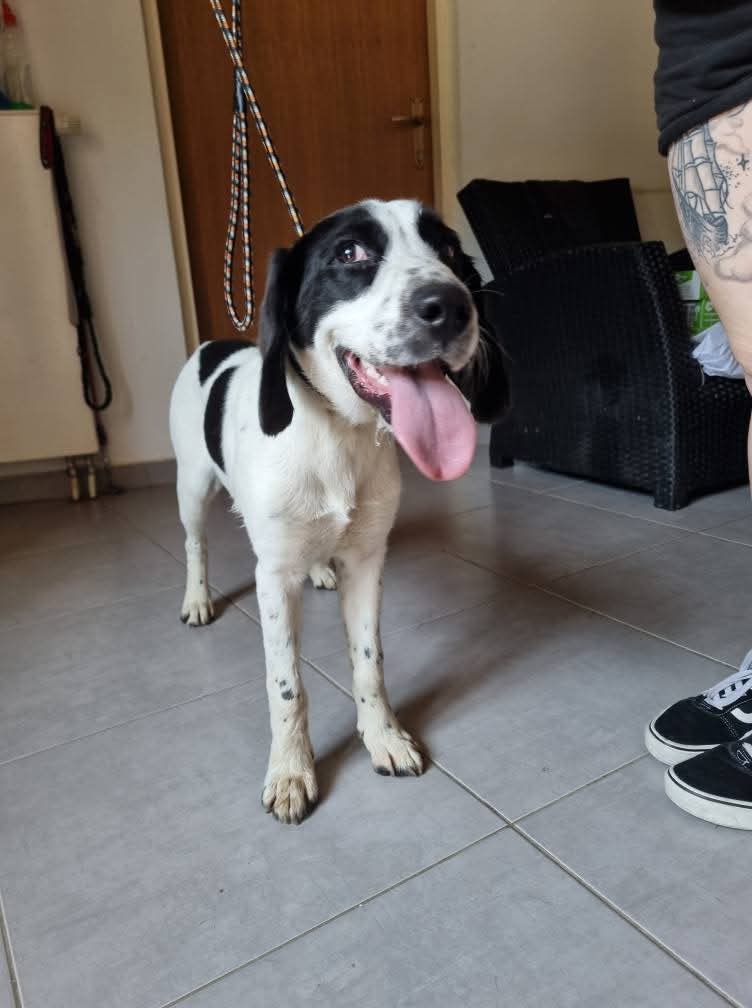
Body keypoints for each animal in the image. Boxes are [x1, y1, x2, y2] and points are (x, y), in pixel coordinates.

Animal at [169, 199, 507, 824]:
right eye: (350, 253)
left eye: (450, 250)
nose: (452, 307)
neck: (335, 435)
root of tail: (212, 345)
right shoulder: (273, 577)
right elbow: (287, 686)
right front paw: (290, 770)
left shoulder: (369, 561)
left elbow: (369, 662)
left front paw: (384, 737)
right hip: (192, 487)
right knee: (195, 543)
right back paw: (198, 598)